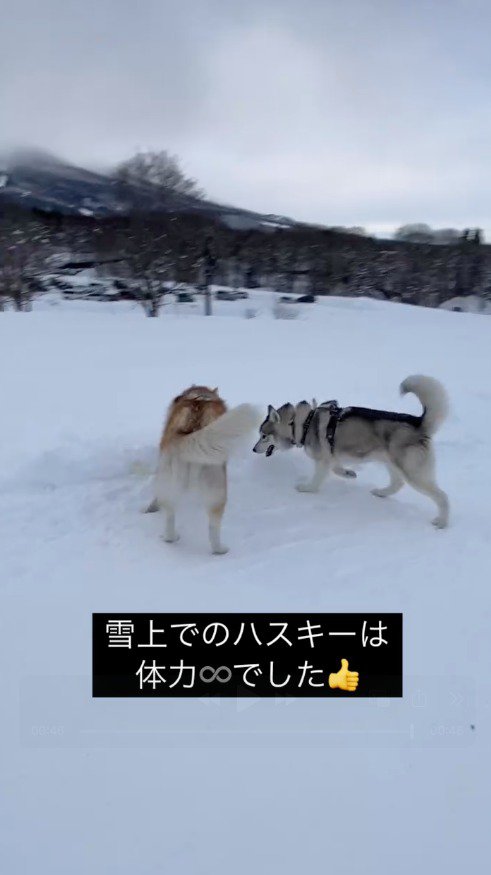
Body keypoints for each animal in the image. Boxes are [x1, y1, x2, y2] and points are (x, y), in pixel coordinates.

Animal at [146, 388, 260, 556]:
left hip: (172, 484)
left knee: (170, 516)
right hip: (217, 489)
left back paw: (171, 537)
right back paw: (220, 550)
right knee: (213, 527)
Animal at [254, 374, 450, 528]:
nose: (253, 449)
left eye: (263, 436)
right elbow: (336, 468)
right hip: (391, 462)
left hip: (412, 472)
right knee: (397, 483)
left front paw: (307, 488)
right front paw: (348, 473)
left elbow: (318, 478)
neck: (303, 423)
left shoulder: (323, 459)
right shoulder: (330, 455)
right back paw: (381, 492)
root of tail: (418, 423)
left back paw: (442, 521)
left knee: (442, 495)